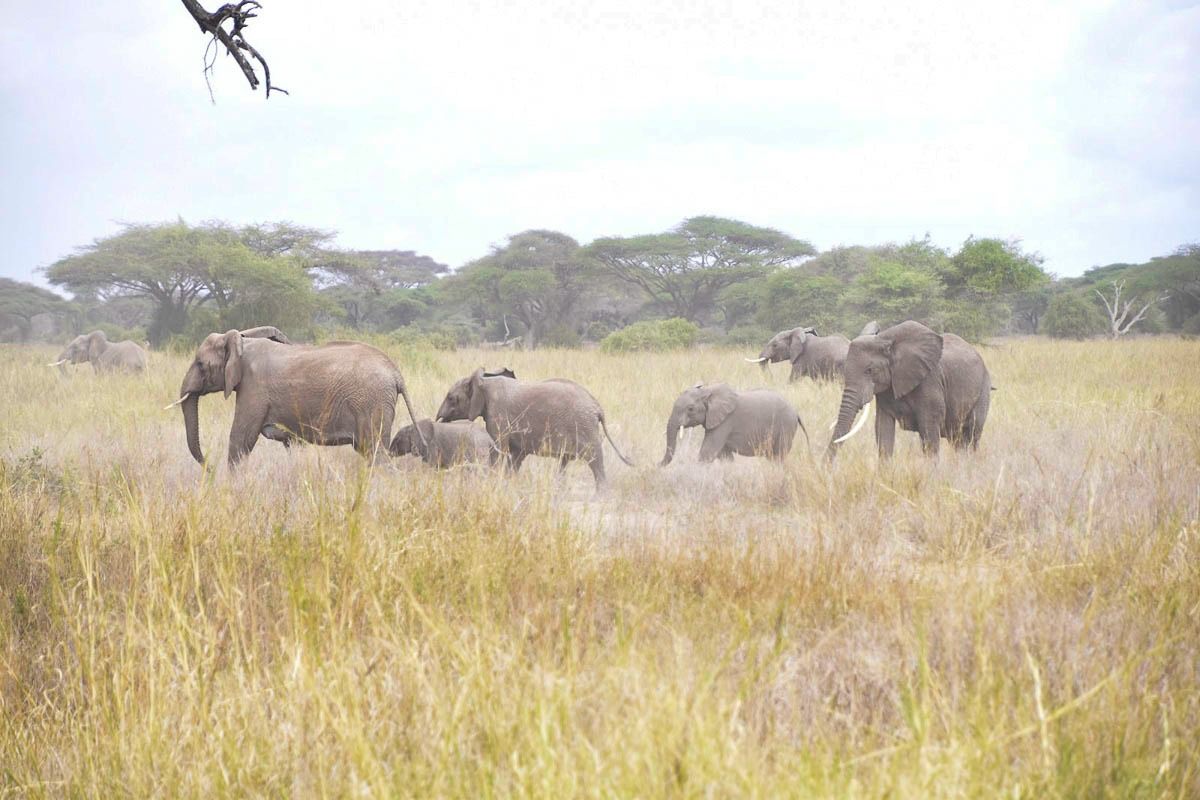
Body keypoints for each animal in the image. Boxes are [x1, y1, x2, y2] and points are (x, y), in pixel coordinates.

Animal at [165, 326, 425, 468]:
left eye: (200, 364)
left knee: (375, 452)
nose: (208, 467)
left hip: (371, 403)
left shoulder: (254, 389)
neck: (242, 343)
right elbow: (292, 443)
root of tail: (396, 373)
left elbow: (240, 439)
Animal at [435, 368, 633, 487]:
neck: (484, 382)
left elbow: (499, 449)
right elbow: (516, 456)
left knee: (594, 459)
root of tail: (597, 407)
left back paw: (599, 497)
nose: (440, 420)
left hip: (584, 426)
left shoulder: (498, 415)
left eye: (451, 398)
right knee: (567, 461)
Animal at [660, 383, 808, 465]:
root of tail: (796, 411)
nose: (656, 465)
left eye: (690, 409)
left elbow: (708, 452)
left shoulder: (725, 421)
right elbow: (724, 454)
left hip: (786, 425)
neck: (708, 391)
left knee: (779, 454)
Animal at [827, 320, 991, 458]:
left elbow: (929, 430)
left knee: (972, 434)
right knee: (958, 440)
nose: (826, 468)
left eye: (870, 370)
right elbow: (883, 429)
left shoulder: (930, 380)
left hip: (983, 389)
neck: (885, 340)